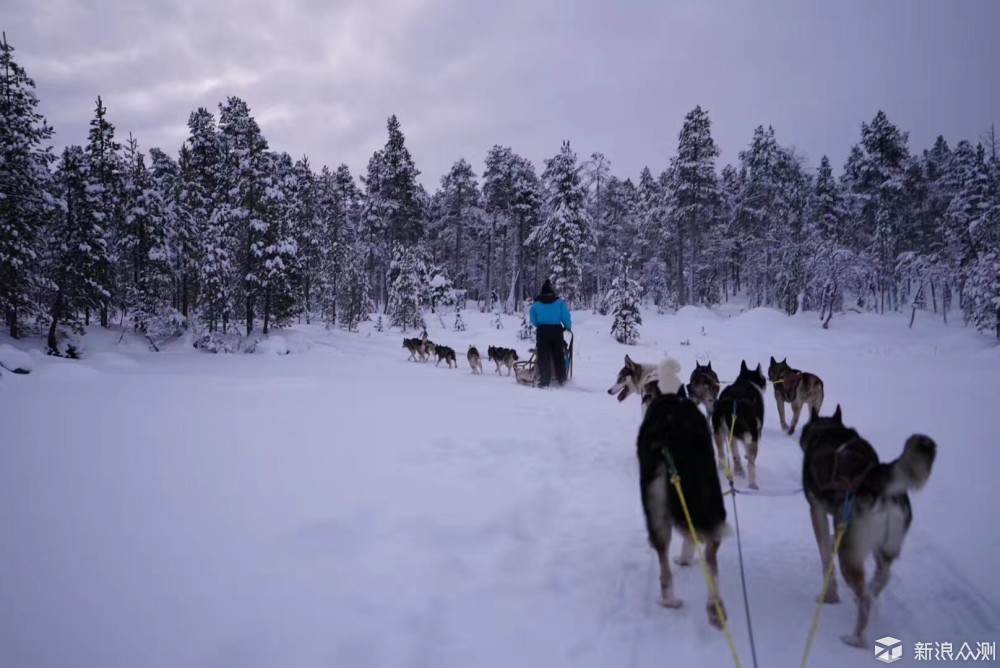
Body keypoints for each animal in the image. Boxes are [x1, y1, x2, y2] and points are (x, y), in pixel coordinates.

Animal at [800, 404, 932, 648]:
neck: (826, 430)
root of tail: (879, 482)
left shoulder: (817, 511)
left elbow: (825, 557)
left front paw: (829, 596)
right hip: (885, 547)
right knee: (883, 577)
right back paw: (871, 593)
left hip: (850, 555)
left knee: (865, 598)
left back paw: (856, 638)